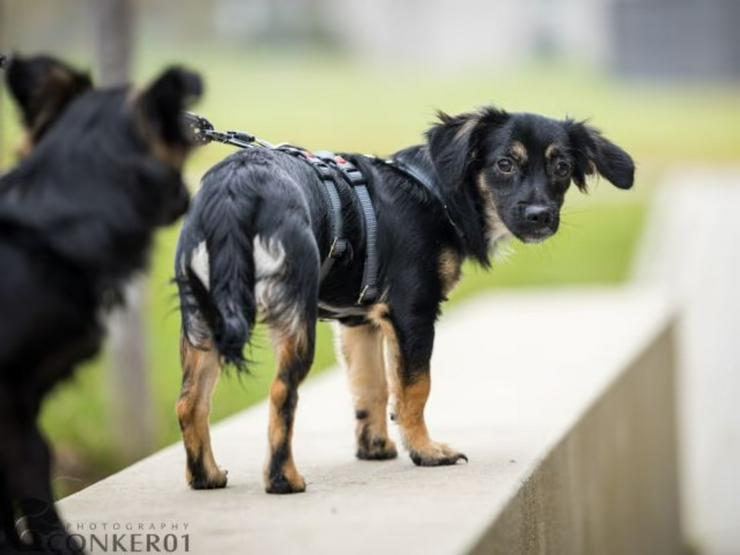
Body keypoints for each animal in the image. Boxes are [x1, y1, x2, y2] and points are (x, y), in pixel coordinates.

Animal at [175, 108, 636, 496]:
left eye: (562, 168)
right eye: (505, 164)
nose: (541, 215)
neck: (435, 191)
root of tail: (236, 192)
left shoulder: (358, 322)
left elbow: (372, 387)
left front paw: (375, 446)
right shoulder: (413, 310)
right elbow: (414, 388)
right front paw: (426, 451)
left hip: (201, 319)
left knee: (190, 403)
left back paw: (205, 476)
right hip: (293, 317)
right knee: (280, 395)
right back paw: (283, 480)